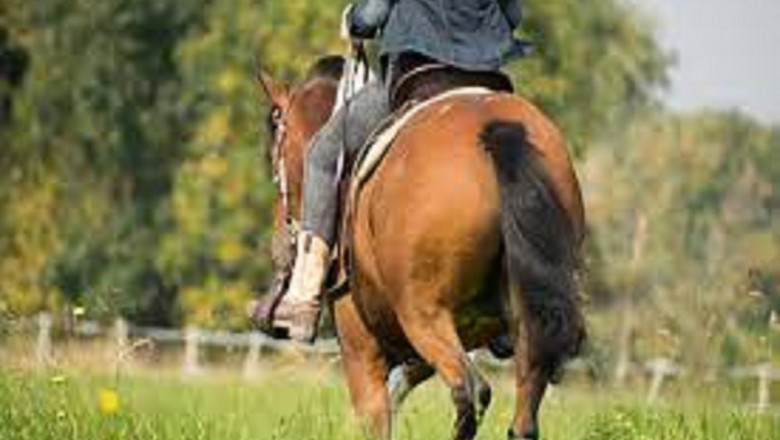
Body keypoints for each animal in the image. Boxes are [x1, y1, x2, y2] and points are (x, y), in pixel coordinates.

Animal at [257, 56, 586, 440]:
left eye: (276, 154)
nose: (279, 242)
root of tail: (497, 130)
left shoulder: (361, 347)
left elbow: (376, 416)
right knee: (521, 418)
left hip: (423, 316)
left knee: (470, 392)